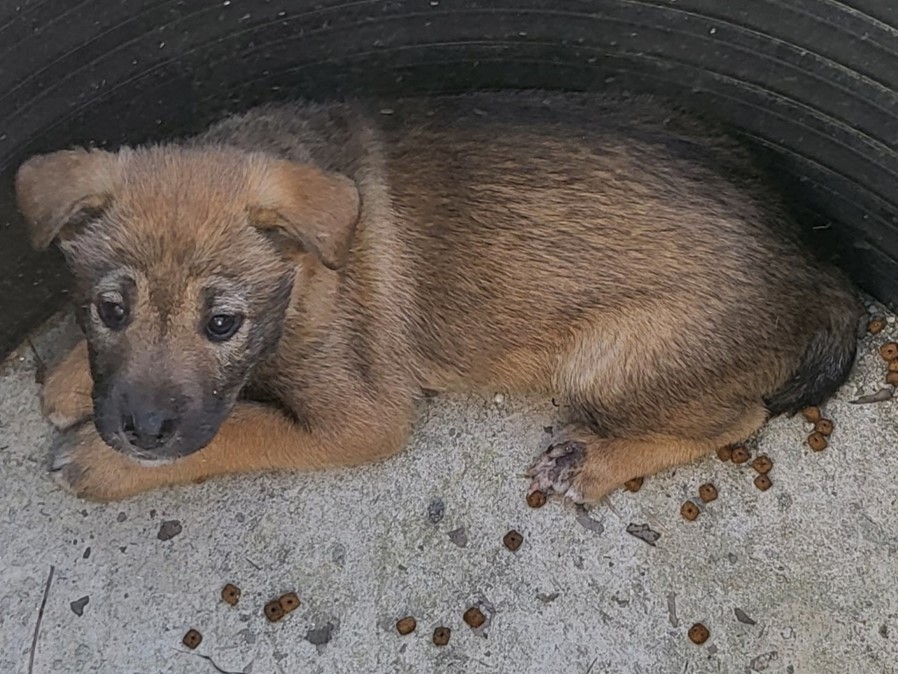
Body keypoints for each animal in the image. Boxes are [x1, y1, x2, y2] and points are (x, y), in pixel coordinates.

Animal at [15, 92, 860, 498]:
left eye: (223, 323)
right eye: (110, 310)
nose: (139, 430)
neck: (306, 272)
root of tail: (816, 269)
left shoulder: (362, 420)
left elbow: (239, 428)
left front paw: (103, 462)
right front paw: (71, 381)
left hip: (609, 362)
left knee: (741, 418)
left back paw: (594, 459)